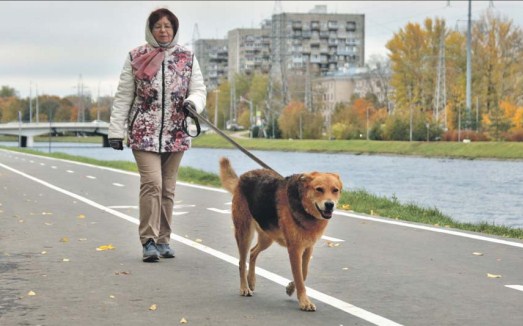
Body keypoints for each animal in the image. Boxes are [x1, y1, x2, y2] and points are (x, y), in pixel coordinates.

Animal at [218, 157, 344, 310]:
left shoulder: (308, 248)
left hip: (267, 237)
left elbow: (304, 272)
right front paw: (304, 301)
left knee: (253, 252)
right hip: (244, 233)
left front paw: (290, 288)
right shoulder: (295, 249)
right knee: (242, 262)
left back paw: (251, 280)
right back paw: (244, 287)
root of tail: (243, 177)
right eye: (319, 189)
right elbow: (299, 276)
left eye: (335, 190)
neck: (303, 206)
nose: (330, 205)